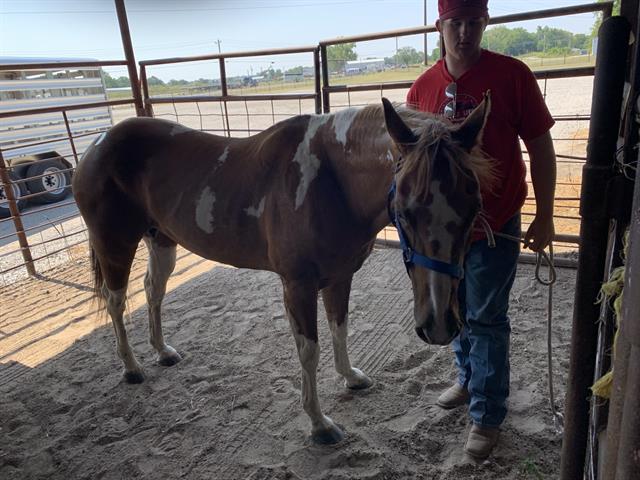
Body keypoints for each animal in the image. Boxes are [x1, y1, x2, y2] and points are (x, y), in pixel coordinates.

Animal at [76, 95, 496, 444]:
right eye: (405, 212)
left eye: (475, 208)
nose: (439, 325)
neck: (331, 181)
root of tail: (98, 144)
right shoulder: (298, 286)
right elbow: (309, 350)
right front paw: (320, 425)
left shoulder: (340, 277)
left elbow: (340, 328)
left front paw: (350, 377)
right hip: (115, 247)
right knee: (116, 302)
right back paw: (131, 367)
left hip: (161, 241)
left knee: (153, 290)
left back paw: (162, 351)